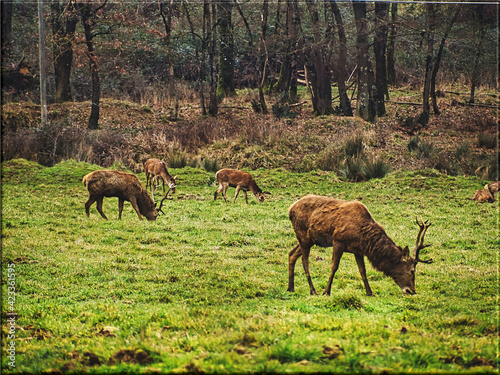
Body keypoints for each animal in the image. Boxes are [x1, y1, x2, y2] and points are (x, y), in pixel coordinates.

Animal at [290, 194, 434, 296]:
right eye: (412, 271)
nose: (411, 291)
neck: (363, 236)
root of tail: (290, 209)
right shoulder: (338, 242)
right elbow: (334, 267)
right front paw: (326, 291)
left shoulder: (358, 250)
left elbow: (362, 271)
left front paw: (370, 292)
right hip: (303, 236)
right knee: (304, 261)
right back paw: (313, 290)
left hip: (307, 239)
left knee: (291, 254)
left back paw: (290, 288)